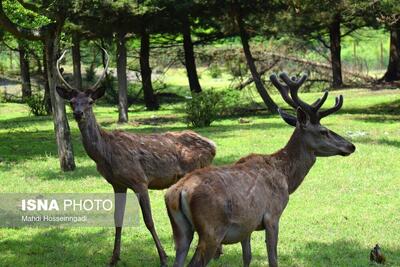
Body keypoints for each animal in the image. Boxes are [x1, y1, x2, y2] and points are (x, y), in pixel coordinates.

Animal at [55, 49, 216, 266]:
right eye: (71, 102)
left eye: (90, 102)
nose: (79, 113)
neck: (106, 154)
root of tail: (213, 146)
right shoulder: (117, 184)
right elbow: (117, 219)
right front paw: (113, 257)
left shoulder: (139, 179)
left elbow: (149, 221)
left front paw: (163, 257)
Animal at [164, 72, 354, 266]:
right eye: (324, 131)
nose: (351, 146)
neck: (286, 178)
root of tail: (177, 192)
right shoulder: (272, 215)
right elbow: (273, 258)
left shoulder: (247, 224)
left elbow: (247, 257)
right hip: (212, 230)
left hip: (181, 231)